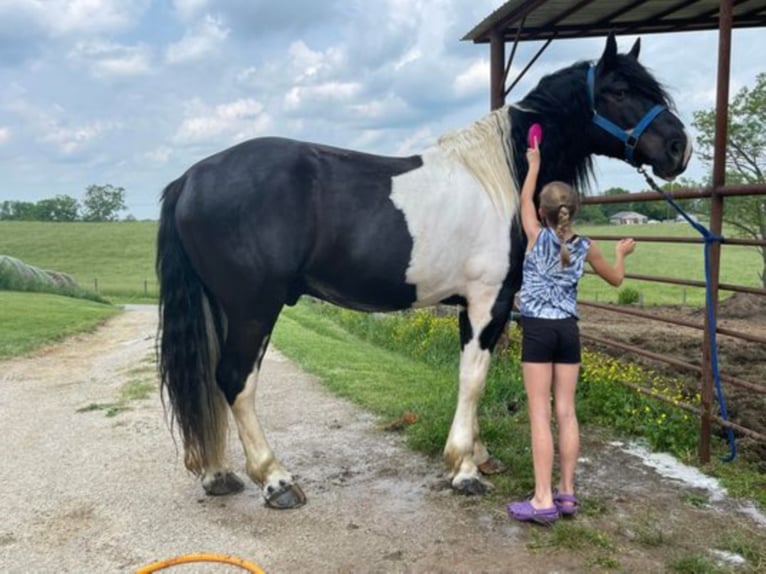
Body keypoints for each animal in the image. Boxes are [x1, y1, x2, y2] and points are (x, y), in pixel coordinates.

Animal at [156, 33, 688, 510]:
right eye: (619, 91)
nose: (678, 148)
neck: (501, 177)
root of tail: (190, 178)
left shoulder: (473, 305)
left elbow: (473, 375)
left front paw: (478, 455)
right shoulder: (487, 301)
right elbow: (473, 377)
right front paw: (465, 469)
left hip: (223, 307)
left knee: (211, 379)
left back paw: (217, 475)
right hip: (253, 308)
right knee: (234, 379)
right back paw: (276, 481)